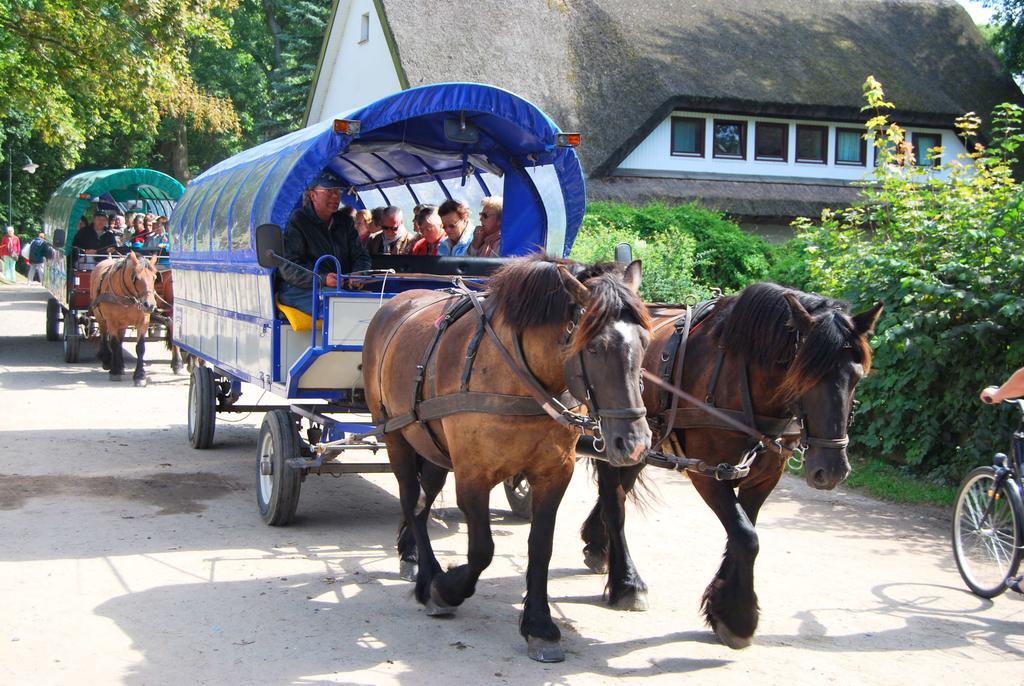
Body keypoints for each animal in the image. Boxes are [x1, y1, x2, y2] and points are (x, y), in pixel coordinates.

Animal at [90, 250, 158, 384]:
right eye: (136, 278)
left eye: (154, 277)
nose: (150, 305)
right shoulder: (112, 321)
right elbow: (114, 343)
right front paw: (115, 371)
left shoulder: (143, 321)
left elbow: (140, 347)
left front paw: (140, 375)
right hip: (99, 316)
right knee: (104, 334)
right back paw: (107, 359)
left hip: (123, 323)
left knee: (120, 341)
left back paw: (120, 365)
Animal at [364, 254, 651, 663]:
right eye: (595, 347)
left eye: (645, 342)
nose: (635, 443)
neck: (518, 378)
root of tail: (396, 303)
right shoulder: (472, 474)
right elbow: (482, 550)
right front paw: (446, 589)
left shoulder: (554, 473)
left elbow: (541, 546)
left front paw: (540, 625)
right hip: (394, 434)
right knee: (411, 499)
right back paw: (426, 576)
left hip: (432, 446)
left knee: (422, 499)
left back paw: (415, 559)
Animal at [581, 284, 884, 651]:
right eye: (805, 375)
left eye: (856, 376)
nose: (832, 469)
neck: (741, 374)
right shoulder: (708, 471)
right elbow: (746, 535)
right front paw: (739, 617)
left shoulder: (765, 475)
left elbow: (744, 531)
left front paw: (724, 607)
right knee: (615, 501)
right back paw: (627, 582)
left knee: (619, 492)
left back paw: (598, 545)